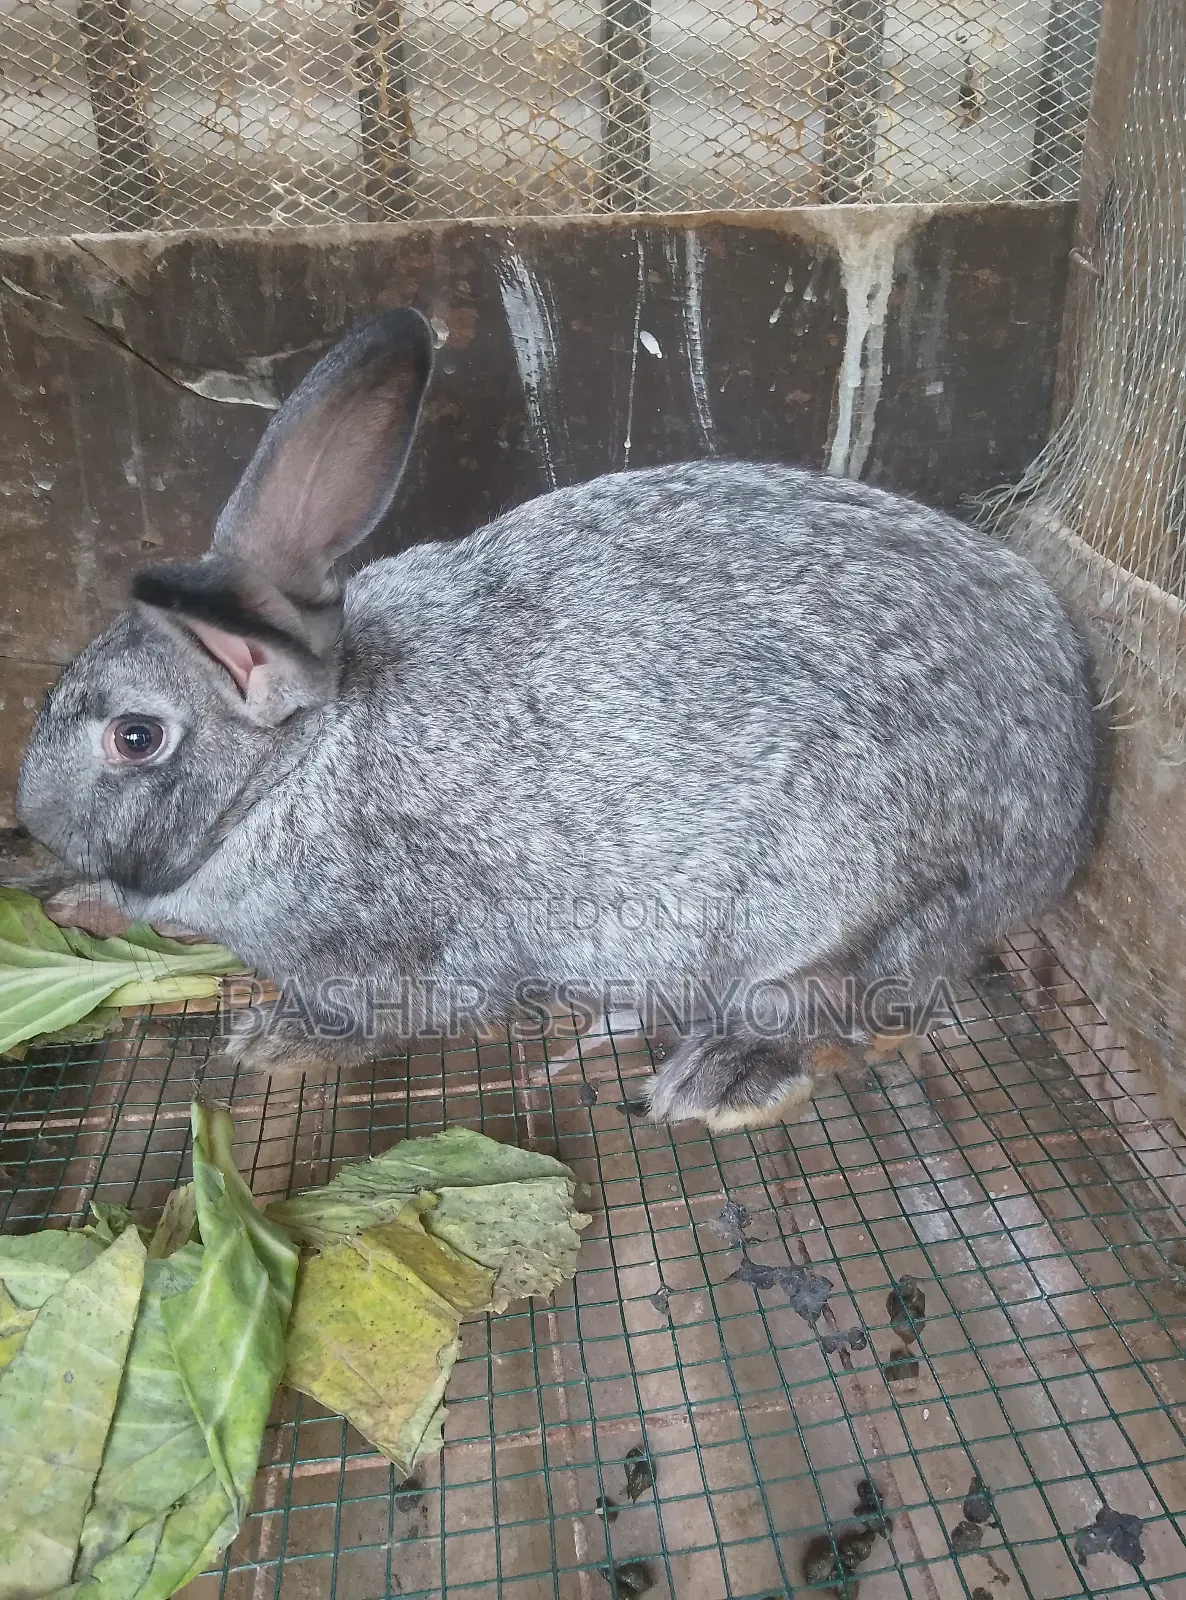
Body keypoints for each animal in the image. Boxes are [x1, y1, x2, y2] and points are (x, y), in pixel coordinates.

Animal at [15, 307, 1103, 1131]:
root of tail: (1069, 789)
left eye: (135, 737)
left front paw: (273, 1043)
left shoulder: (402, 950)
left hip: (838, 895)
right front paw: (82, 906)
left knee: (834, 999)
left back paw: (716, 1081)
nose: (29, 815)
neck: (296, 765)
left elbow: (382, 1010)